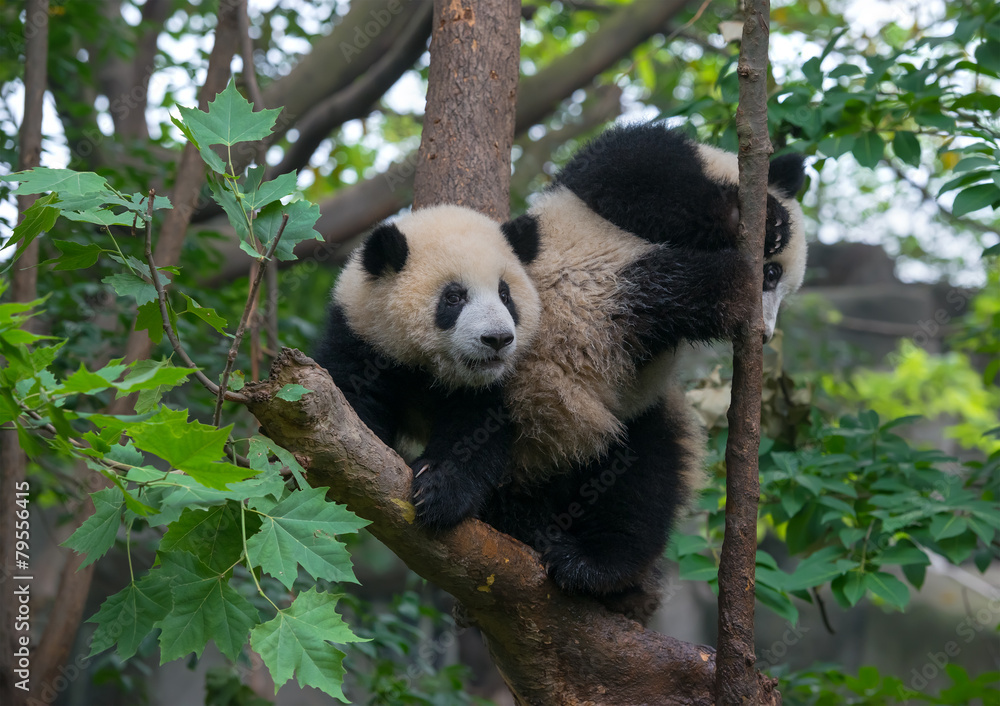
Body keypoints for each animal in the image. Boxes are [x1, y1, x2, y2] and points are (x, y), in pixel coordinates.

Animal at [314, 205, 541, 530]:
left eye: (505, 295)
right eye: (454, 297)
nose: (497, 339)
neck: (429, 369)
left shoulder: (493, 385)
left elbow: (477, 431)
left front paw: (439, 492)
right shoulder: (359, 338)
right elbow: (352, 405)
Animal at [473, 122, 808, 601]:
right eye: (773, 273)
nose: (763, 333)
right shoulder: (595, 185)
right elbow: (630, 173)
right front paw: (758, 220)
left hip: (629, 416)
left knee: (644, 476)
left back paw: (592, 565)